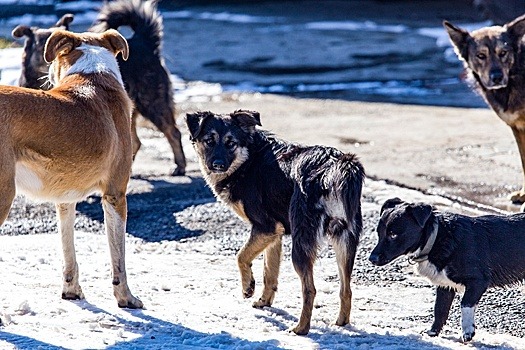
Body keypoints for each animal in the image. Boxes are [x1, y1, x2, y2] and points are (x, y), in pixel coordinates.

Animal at [0, 29, 143, 308]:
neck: (91, 74)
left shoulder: (65, 199)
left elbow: (69, 251)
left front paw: (71, 292)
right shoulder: (115, 195)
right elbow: (118, 259)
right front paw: (125, 298)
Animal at [187, 110, 364, 336]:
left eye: (231, 143)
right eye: (209, 141)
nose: (218, 165)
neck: (248, 160)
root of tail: (335, 164)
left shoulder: (265, 227)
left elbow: (241, 256)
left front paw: (248, 288)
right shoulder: (274, 234)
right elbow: (269, 272)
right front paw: (264, 301)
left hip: (302, 243)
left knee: (310, 289)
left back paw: (301, 328)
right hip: (345, 240)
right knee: (346, 289)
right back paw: (341, 322)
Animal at [368, 198, 524, 344]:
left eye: (393, 234)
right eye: (379, 233)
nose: (372, 259)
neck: (437, 238)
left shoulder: (478, 281)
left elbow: (465, 304)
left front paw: (467, 331)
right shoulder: (445, 286)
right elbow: (439, 310)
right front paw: (433, 333)